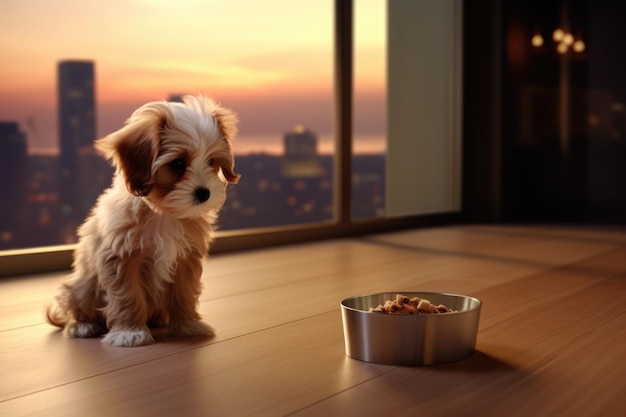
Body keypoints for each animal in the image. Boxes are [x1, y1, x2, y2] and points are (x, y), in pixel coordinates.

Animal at [45, 96, 239, 346]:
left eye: (212, 161)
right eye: (177, 164)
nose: (204, 193)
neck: (163, 213)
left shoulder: (186, 257)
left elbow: (184, 292)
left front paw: (188, 326)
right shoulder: (121, 257)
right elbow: (127, 295)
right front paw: (130, 332)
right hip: (82, 285)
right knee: (79, 303)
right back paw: (83, 326)